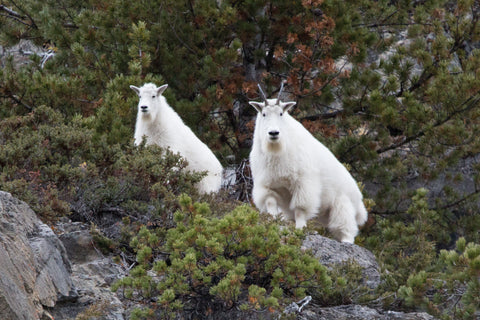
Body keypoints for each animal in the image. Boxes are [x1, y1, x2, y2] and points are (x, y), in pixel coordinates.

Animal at [248, 85, 368, 242]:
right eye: (263, 114)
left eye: (281, 113)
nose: (274, 133)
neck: (277, 150)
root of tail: (359, 200)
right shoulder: (267, 184)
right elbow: (270, 203)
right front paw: (273, 222)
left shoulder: (302, 183)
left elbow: (300, 209)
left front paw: (300, 229)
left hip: (342, 203)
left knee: (346, 227)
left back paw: (346, 241)